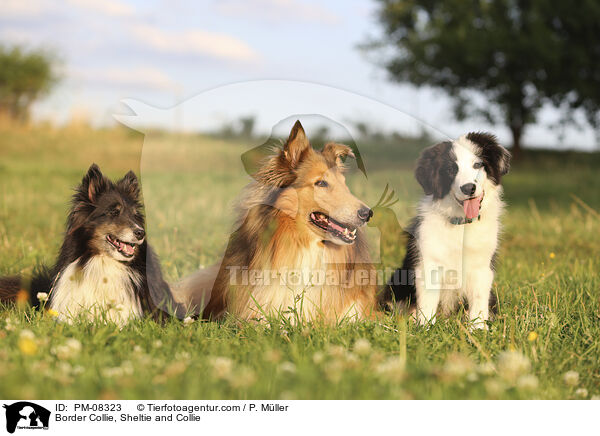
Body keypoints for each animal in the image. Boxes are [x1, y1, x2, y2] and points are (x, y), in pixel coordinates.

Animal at [390, 132, 510, 328]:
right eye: (450, 170)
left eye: (477, 165)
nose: (468, 188)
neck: (461, 225)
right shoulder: (428, 260)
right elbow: (428, 297)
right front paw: (425, 326)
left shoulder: (481, 264)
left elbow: (479, 297)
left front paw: (478, 327)